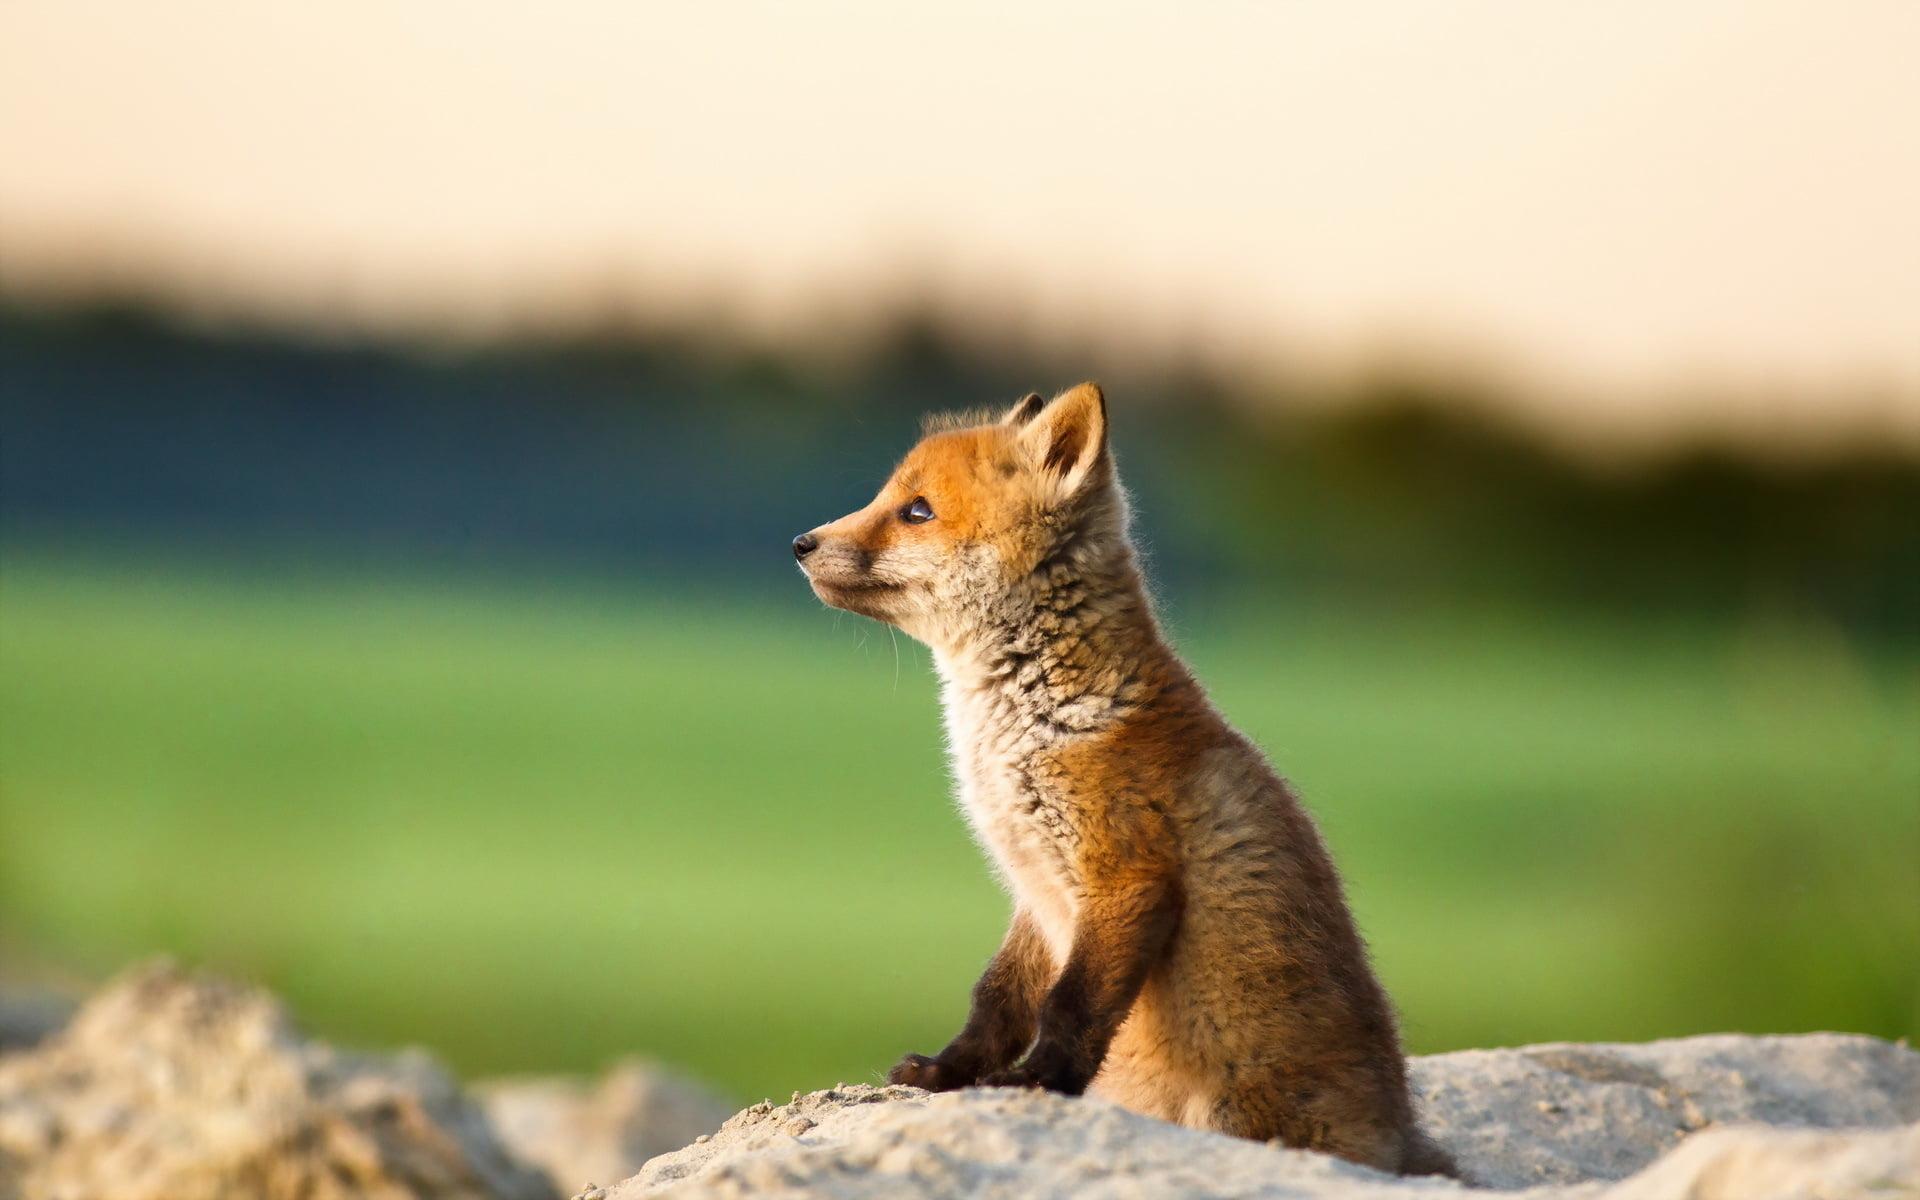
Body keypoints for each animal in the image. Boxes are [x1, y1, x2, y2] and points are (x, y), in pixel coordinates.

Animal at [791, 383, 1456, 1177]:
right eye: (889, 497)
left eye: (916, 510)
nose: (799, 544)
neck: (1031, 726)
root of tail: (1402, 1139)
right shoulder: (1034, 891)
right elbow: (996, 999)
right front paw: (950, 1074)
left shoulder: (1126, 876)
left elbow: (1071, 1006)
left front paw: (1041, 1083)